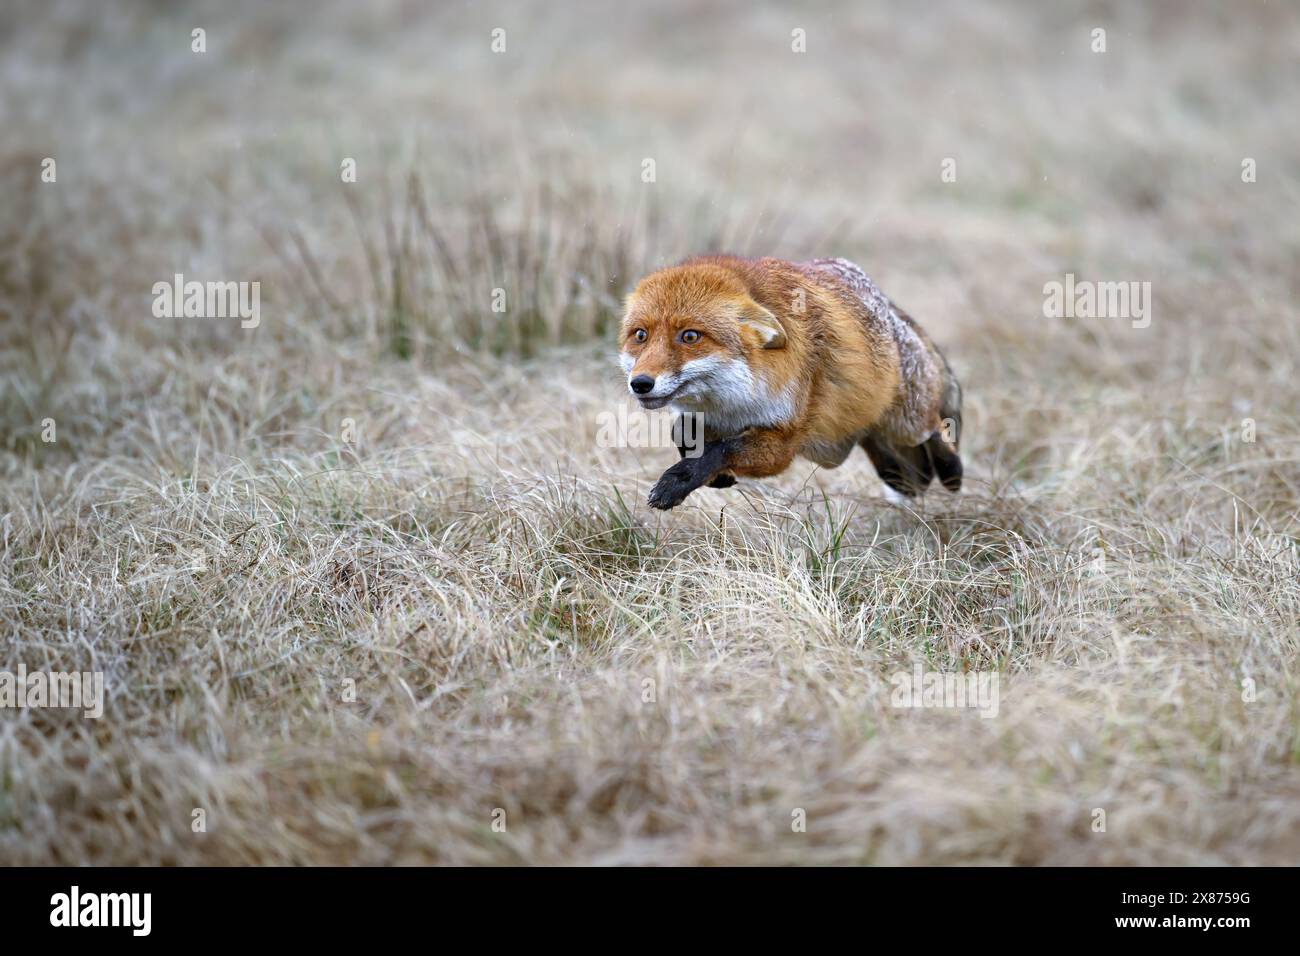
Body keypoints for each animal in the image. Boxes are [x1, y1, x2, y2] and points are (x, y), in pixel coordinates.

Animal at [618, 255, 964, 510]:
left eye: (690, 336)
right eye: (640, 335)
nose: (641, 383)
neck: (734, 403)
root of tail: (891, 309)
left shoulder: (783, 440)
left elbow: (722, 449)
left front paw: (678, 481)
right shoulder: (703, 417)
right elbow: (682, 433)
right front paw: (713, 476)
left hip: (905, 424)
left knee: (936, 429)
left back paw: (952, 469)